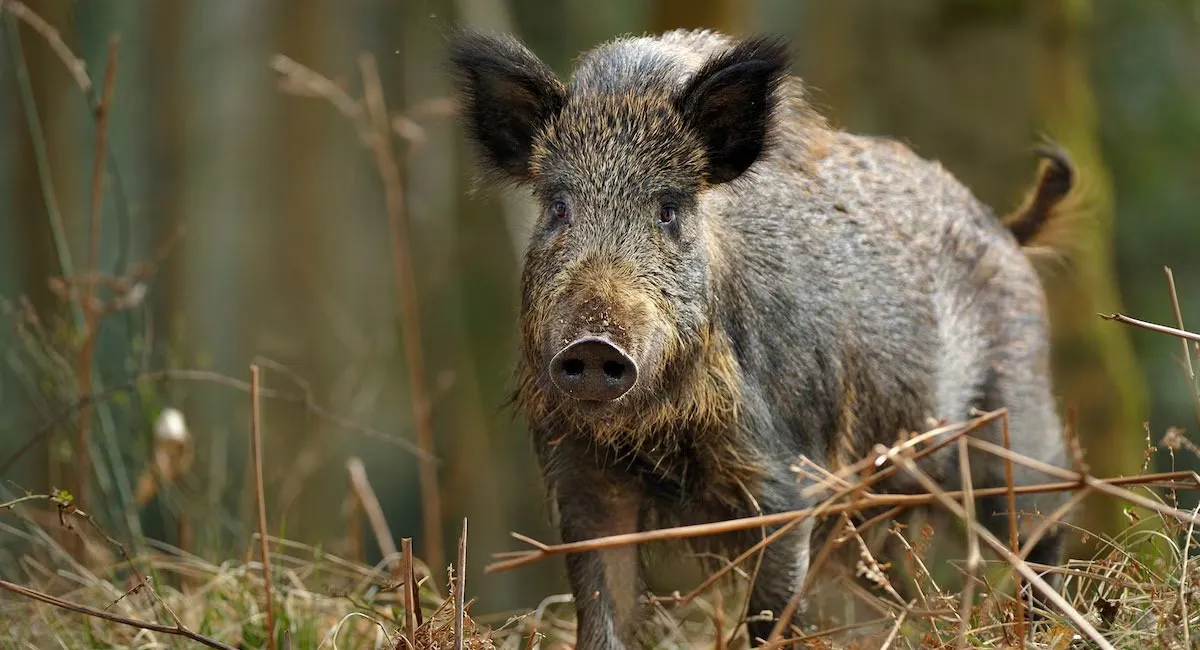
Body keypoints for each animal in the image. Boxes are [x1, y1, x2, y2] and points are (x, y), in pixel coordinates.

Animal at [448, 28, 1075, 649]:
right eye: (558, 207)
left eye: (669, 210)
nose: (595, 345)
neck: (659, 434)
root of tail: (1008, 231)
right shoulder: (580, 476)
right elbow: (604, 610)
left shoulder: (784, 478)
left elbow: (771, 613)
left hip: (1017, 417)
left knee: (1043, 518)